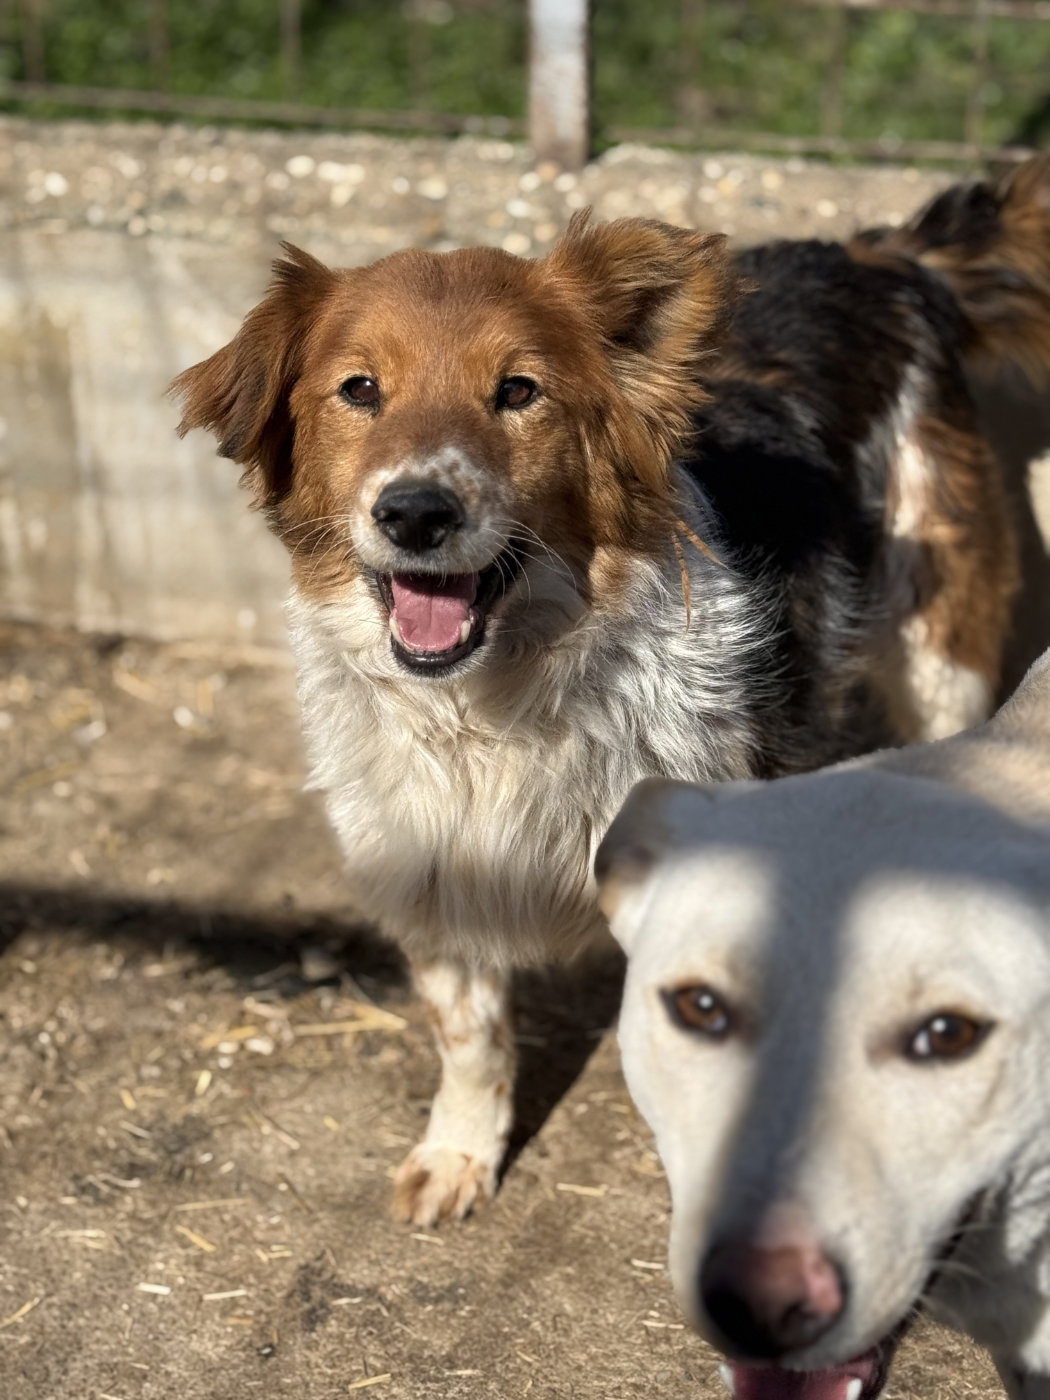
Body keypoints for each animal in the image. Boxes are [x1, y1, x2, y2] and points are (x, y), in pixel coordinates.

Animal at [171, 158, 1050, 1227]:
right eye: (359, 390)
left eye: (518, 391)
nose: (416, 512)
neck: (501, 699)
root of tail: (871, 256)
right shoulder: (425, 858)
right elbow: (470, 1038)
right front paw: (460, 1152)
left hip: (938, 648)